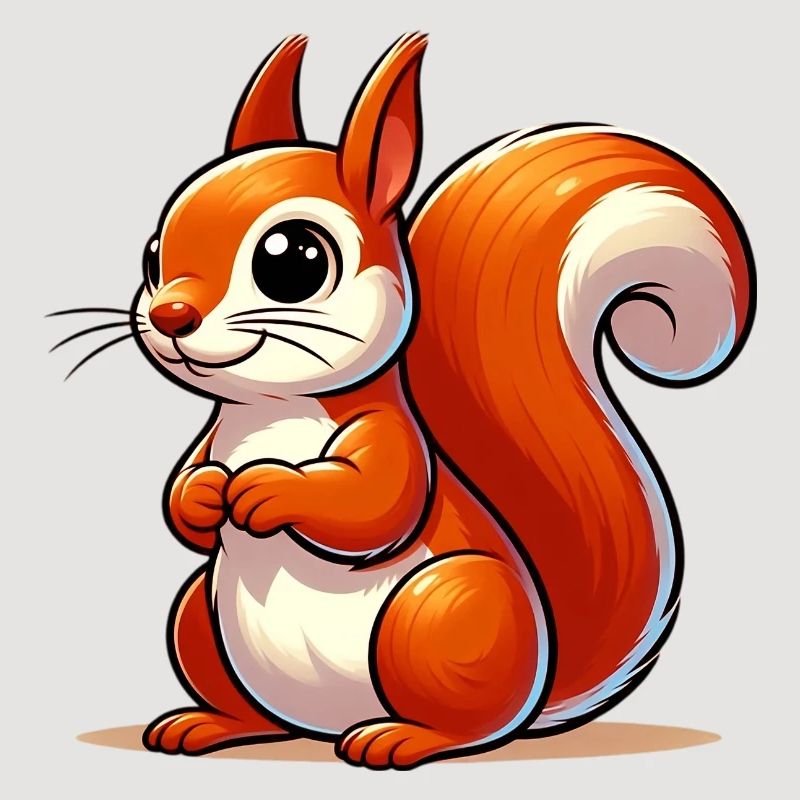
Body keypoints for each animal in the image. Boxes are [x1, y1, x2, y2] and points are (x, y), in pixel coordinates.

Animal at [113, 33, 754, 768]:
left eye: (294, 259)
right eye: (152, 254)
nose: (171, 315)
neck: (272, 409)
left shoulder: (390, 437)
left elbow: (374, 504)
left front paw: (265, 489)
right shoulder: (210, 441)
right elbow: (182, 497)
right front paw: (203, 496)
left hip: (441, 610)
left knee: (470, 726)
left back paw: (402, 737)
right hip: (202, 615)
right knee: (248, 703)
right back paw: (208, 723)